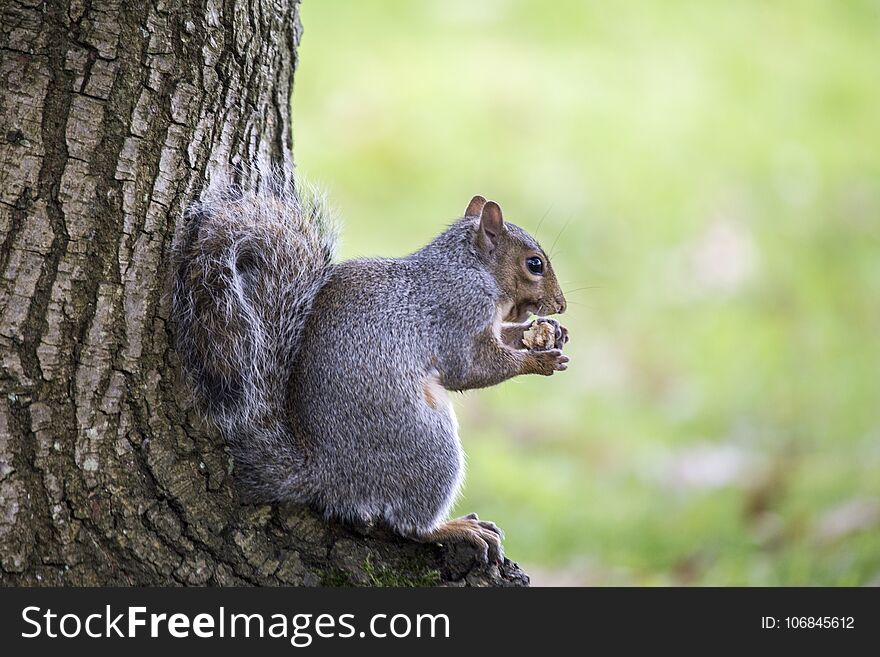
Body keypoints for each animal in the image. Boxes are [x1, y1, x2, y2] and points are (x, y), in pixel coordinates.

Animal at [171, 172, 572, 560]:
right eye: (534, 264)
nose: (561, 305)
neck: (469, 268)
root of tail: (326, 475)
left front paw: (548, 332)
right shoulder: (458, 312)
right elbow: (471, 368)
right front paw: (538, 359)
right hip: (431, 448)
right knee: (409, 525)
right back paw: (454, 528)